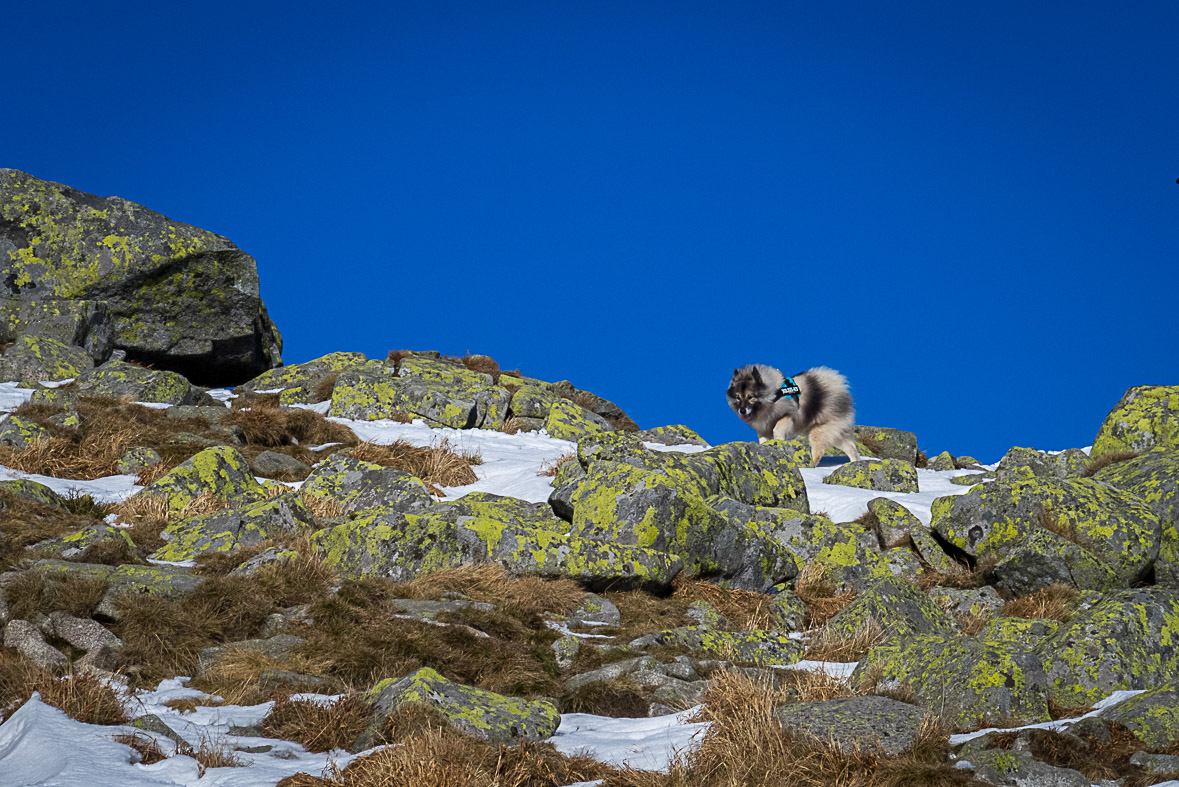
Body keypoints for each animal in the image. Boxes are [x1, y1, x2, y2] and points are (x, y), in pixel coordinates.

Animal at [721, 365, 863, 466]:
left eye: (750, 397)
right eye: (738, 397)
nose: (742, 410)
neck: (772, 396)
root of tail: (838, 387)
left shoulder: (787, 416)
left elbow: (777, 429)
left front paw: (779, 441)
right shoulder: (762, 429)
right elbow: (763, 441)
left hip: (819, 431)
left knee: (818, 451)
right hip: (835, 433)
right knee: (851, 448)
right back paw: (855, 464)